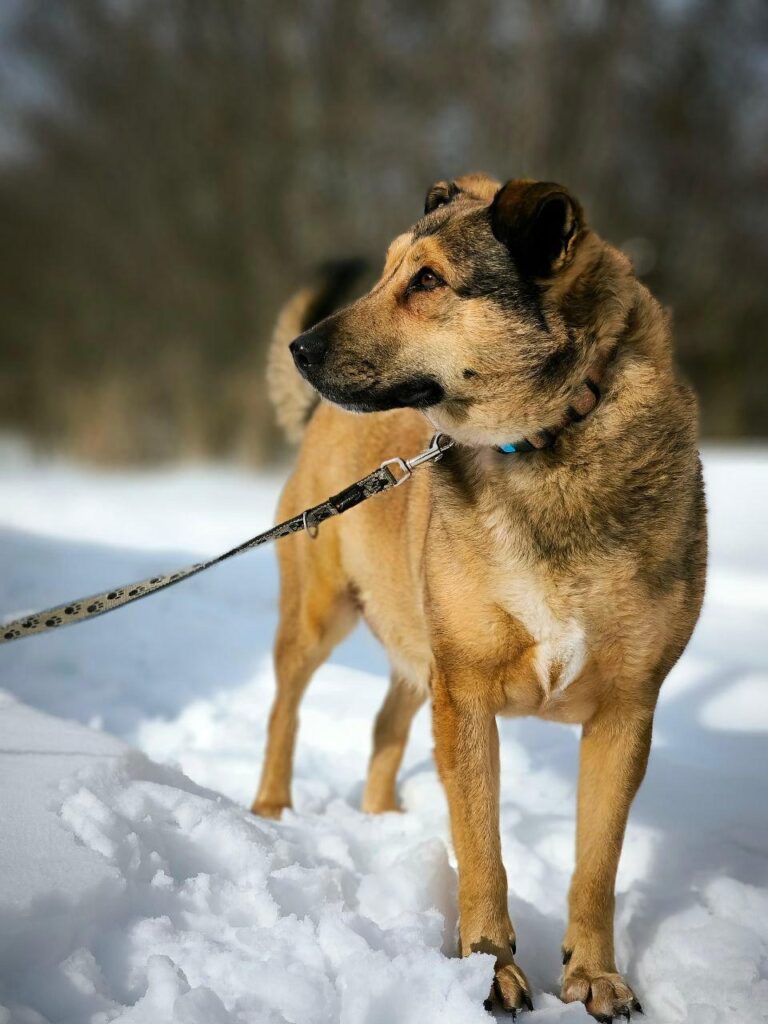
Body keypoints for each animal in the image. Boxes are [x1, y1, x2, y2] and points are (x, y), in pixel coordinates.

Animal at [252, 174, 707, 1019]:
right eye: (387, 271)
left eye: (428, 280)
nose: (301, 352)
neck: (548, 443)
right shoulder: (464, 690)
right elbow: (481, 847)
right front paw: (490, 970)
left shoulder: (627, 708)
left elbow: (597, 863)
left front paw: (594, 976)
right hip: (324, 614)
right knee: (284, 712)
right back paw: (268, 811)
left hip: (413, 638)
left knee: (384, 726)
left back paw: (383, 819)